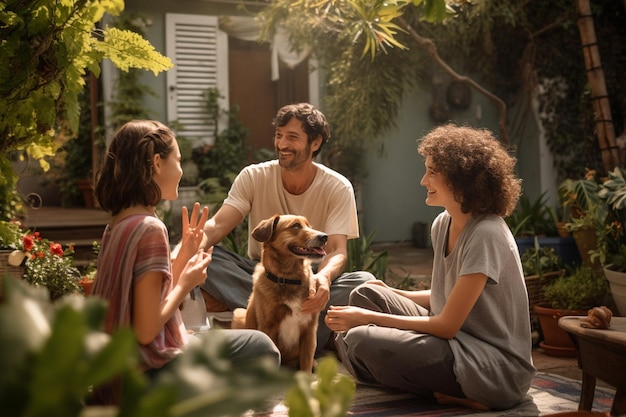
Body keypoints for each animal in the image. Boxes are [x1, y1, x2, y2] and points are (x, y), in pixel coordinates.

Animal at [229, 214, 326, 370]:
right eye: (296, 225)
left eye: (309, 226)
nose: (325, 237)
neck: (288, 279)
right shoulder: (268, 327)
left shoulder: (309, 331)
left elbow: (306, 366)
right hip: (239, 314)